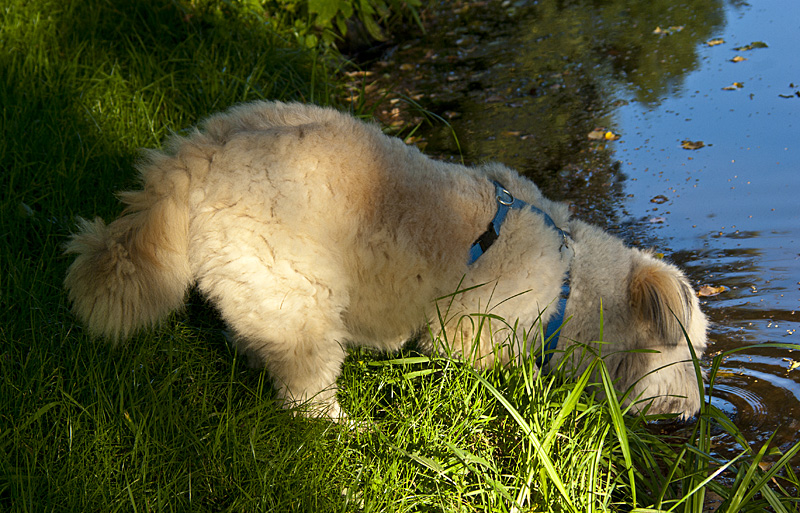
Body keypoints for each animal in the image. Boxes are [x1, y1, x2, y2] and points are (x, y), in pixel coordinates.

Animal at [65, 99, 708, 416]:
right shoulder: (469, 336)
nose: (696, 416)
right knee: (306, 394)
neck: (571, 281)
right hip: (300, 302)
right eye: (692, 355)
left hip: (260, 288)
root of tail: (194, 160)